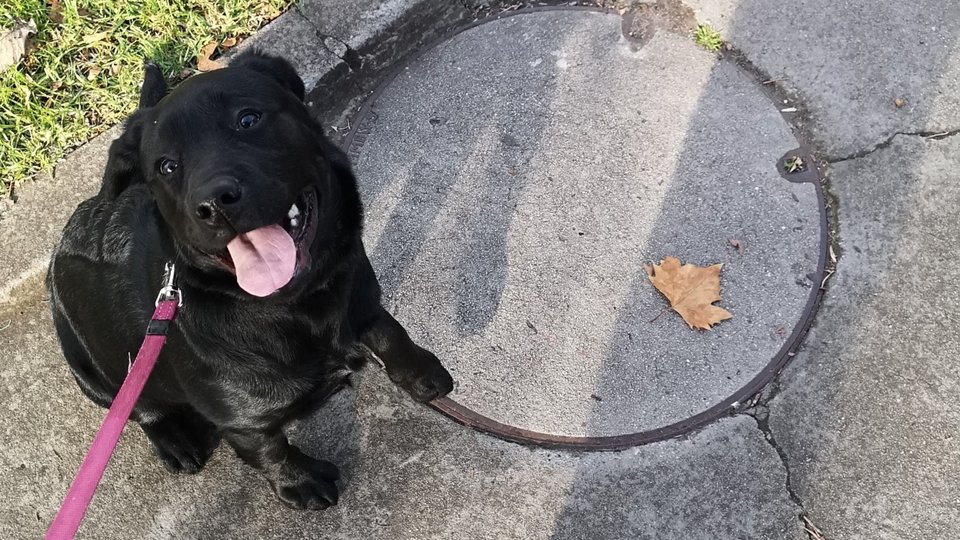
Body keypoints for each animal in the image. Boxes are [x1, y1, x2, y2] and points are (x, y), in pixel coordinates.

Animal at [42, 51, 454, 510]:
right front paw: (301, 483)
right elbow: (270, 450)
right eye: (167, 166)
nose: (214, 203)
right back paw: (175, 440)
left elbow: (390, 333)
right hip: (91, 371)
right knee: (137, 407)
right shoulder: (244, 422)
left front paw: (423, 373)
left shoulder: (361, 299)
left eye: (248, 119)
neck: (293, 306)